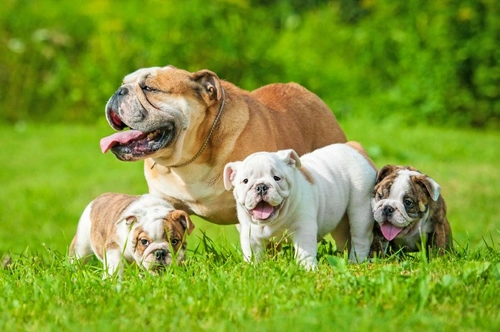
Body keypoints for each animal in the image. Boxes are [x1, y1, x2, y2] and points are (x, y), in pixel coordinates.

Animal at [225, 141, 376, 268]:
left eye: (277, 178)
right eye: (245, 181)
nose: (261, 186)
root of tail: (354, 147)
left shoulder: (303, 229)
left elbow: (305, 252)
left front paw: (307, 268)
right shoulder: (250, 234)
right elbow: (252, 254)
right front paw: (252, 268)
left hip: (360, 206)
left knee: (360, 237)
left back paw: (356, 261)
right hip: (341, 221)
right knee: (344, 237)